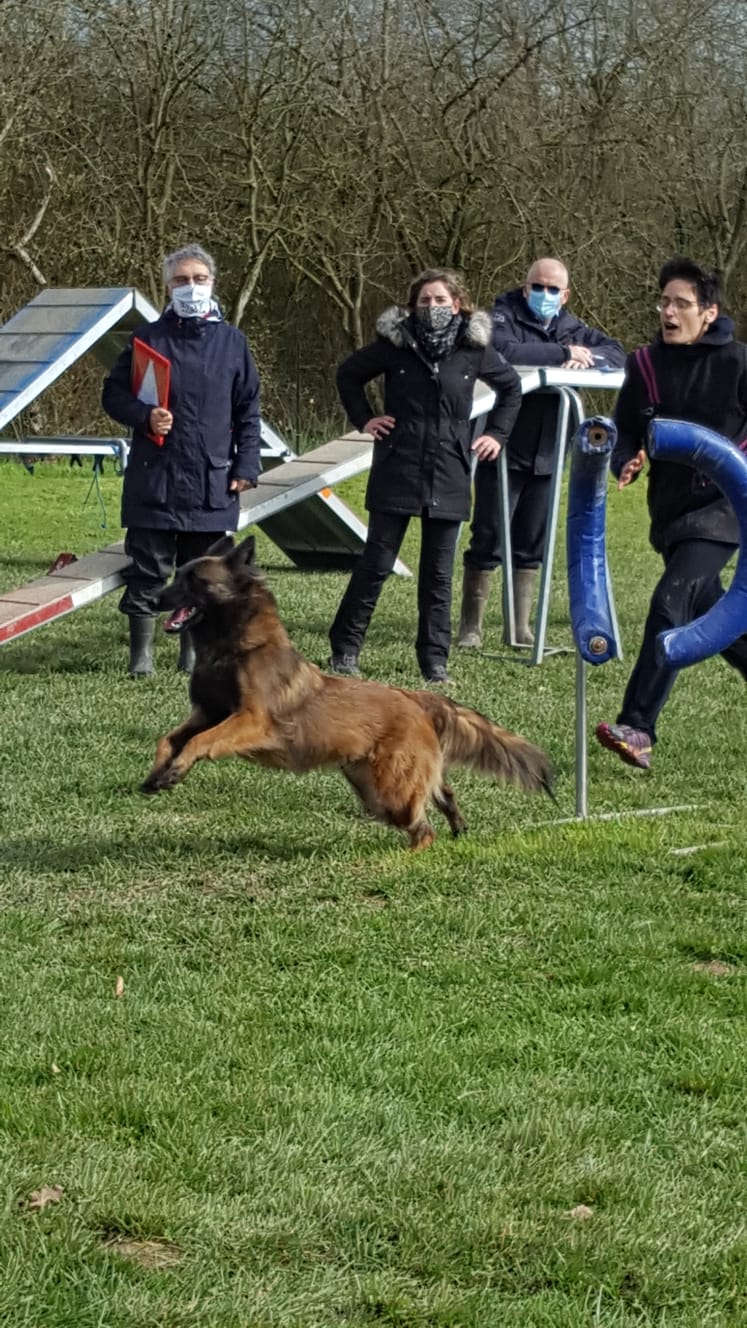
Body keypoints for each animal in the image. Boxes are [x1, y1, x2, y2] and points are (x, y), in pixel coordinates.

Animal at [142, 535, 553, 849]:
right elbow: (170, 738)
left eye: (193, 579)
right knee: (440, 793)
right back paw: (457, 825)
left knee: (423, 826)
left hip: (390, 792)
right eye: (178, 574)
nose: (150, 599)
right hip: (374, 787)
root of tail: (416, 698)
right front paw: (158, 774)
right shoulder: (206, 713)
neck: (237, 647)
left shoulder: (249, 719)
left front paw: (176, 770)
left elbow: (201, 741)